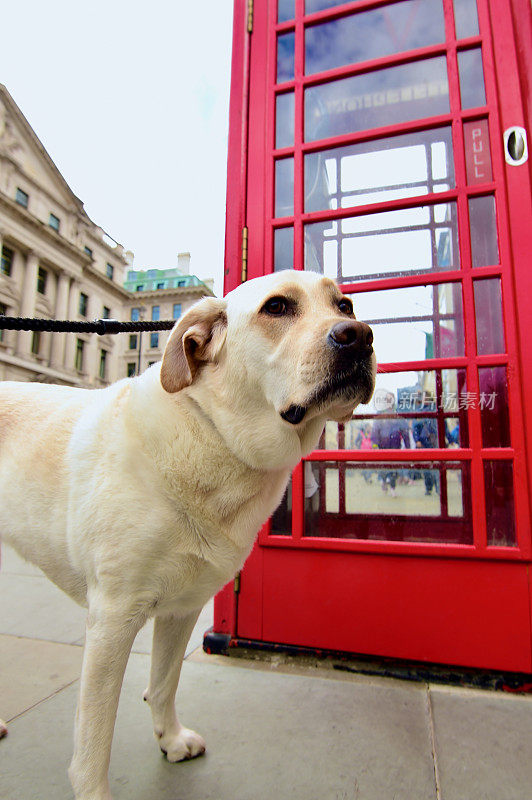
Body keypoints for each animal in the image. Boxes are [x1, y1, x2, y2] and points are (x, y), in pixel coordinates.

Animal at [0, 270, 376, 800]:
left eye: (345, 305)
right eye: (277, 307)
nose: (359, 335)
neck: (215, 437)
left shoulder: (183, 607)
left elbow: (163, 682)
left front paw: (171, 741)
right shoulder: (112, 617)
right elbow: (94, 735)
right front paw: (94, 789)